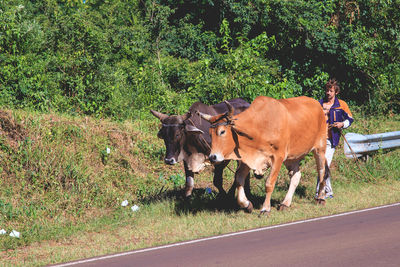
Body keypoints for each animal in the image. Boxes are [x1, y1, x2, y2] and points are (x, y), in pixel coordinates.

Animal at [199, 96, 328, 216]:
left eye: (222, 131)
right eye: (210, 134)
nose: (212, 157)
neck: (259, 127)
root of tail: (317, 104)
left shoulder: (278, 157)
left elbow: (269, 184)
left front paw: (265, 209)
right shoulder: (248, 159)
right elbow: (239, 179)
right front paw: (247, 204)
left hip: (320, 148)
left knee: (322, 172)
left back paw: (320, 198)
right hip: (292, 158)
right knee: (296, 176)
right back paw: (285, 203)